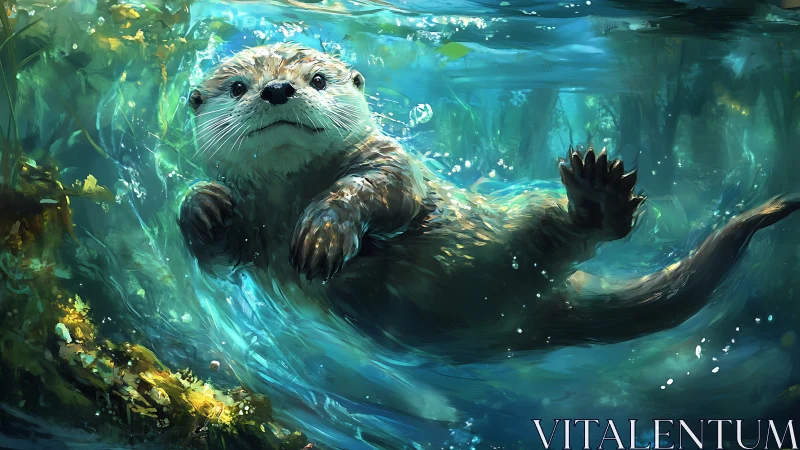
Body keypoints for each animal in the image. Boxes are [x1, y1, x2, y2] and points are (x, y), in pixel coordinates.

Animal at [180, 43, 799, 361]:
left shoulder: (392, 162)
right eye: (237, 87)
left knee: (574, 233)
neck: (291, 197)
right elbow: (221, 254)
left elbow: (381, 193)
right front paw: (204, 207)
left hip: (514, 223)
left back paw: (599, 196)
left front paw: (325, 230)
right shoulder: (258, 235)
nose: (276, 89)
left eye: (317, 78)